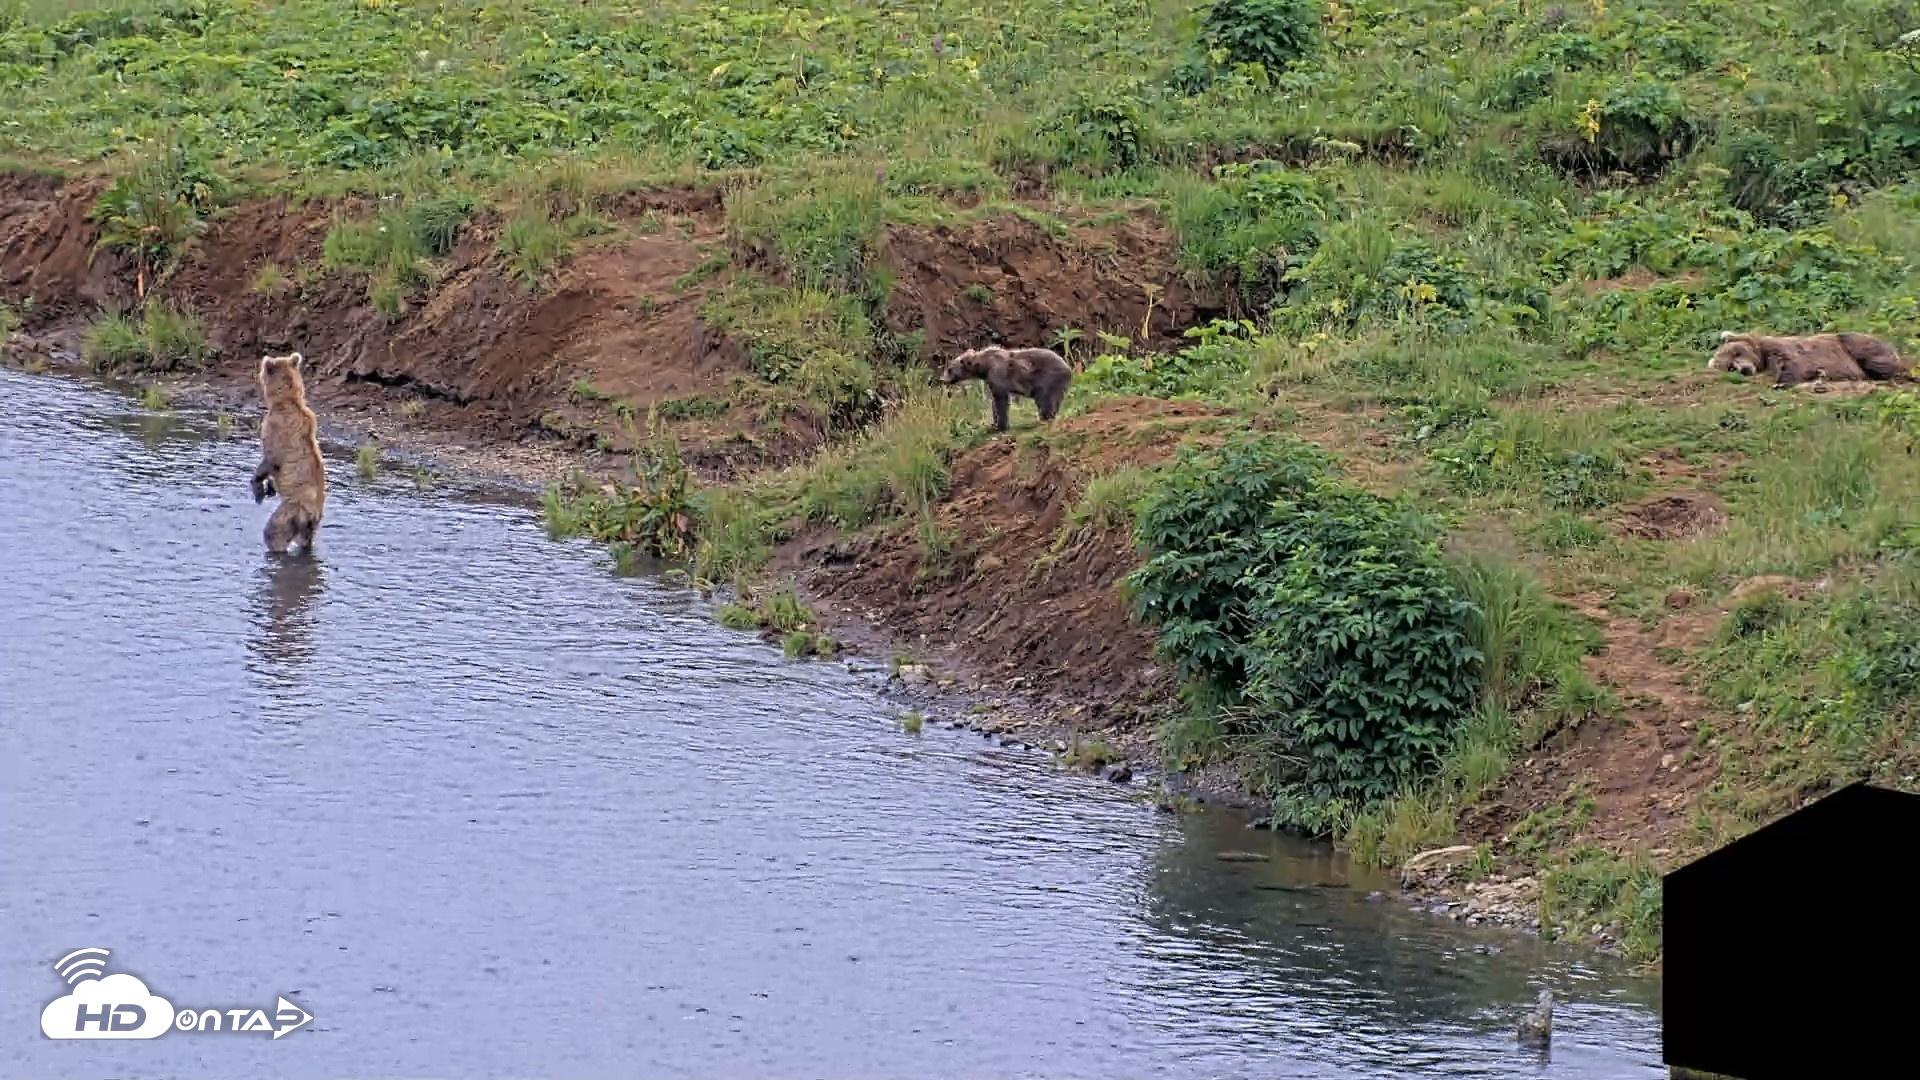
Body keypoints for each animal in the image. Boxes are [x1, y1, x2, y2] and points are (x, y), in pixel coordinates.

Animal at [250, 351, 327, 554]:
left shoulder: (276, 429)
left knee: (274, 531)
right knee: (305, 540)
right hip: (307, 525)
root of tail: (314, 514)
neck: (285, 400)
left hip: (293, 510)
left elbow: (270, 459)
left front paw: (258, 488)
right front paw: (269, 487)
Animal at [936, 345, 1073, 432]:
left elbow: (1001, 400)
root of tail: (1068, 367)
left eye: (949, 369)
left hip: (1048, 378)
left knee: (1045, 398)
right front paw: (993, 423)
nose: (942, 379)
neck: (984, 366)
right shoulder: (990, 379)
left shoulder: (997, 374)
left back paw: (1044, 418)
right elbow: (994, 401)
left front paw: (1000, 426)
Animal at [1708, 331, 1913, 388]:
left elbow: (1794, 364)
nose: (1744, 369)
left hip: (1856, 343)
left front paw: (1781, 382)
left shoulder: (1785, 350)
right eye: (1730, 367)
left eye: (1737, 353)